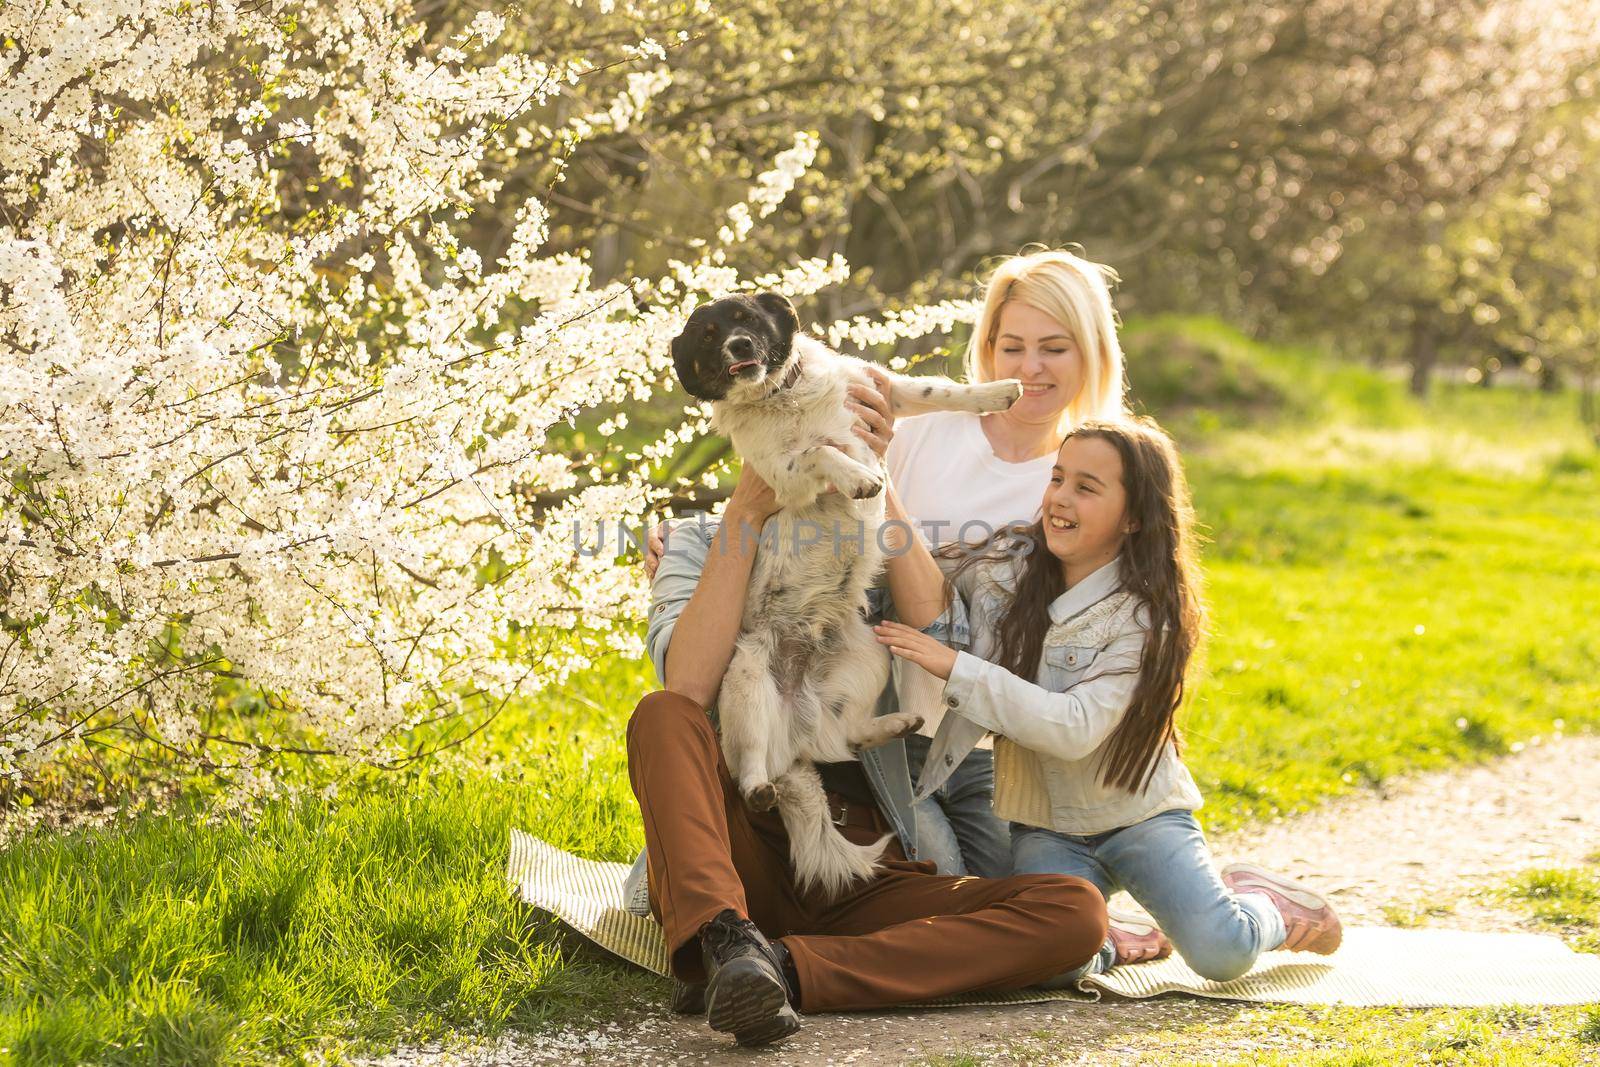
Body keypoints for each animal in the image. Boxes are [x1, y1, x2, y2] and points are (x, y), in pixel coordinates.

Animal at [668, 289, 1017, 895]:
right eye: (708, 336)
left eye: (746, 320)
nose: (741, 346)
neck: (782, 394)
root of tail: (797, 738)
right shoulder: (783, 474)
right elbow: (820, 452)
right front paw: (859, 477)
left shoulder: (882, 390)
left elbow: (940, 391)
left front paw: (1001, 391)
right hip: (746, 679)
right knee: (749, 769)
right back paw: (760, 786)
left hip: (869, 653)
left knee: (849, 735)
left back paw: (895, 724)